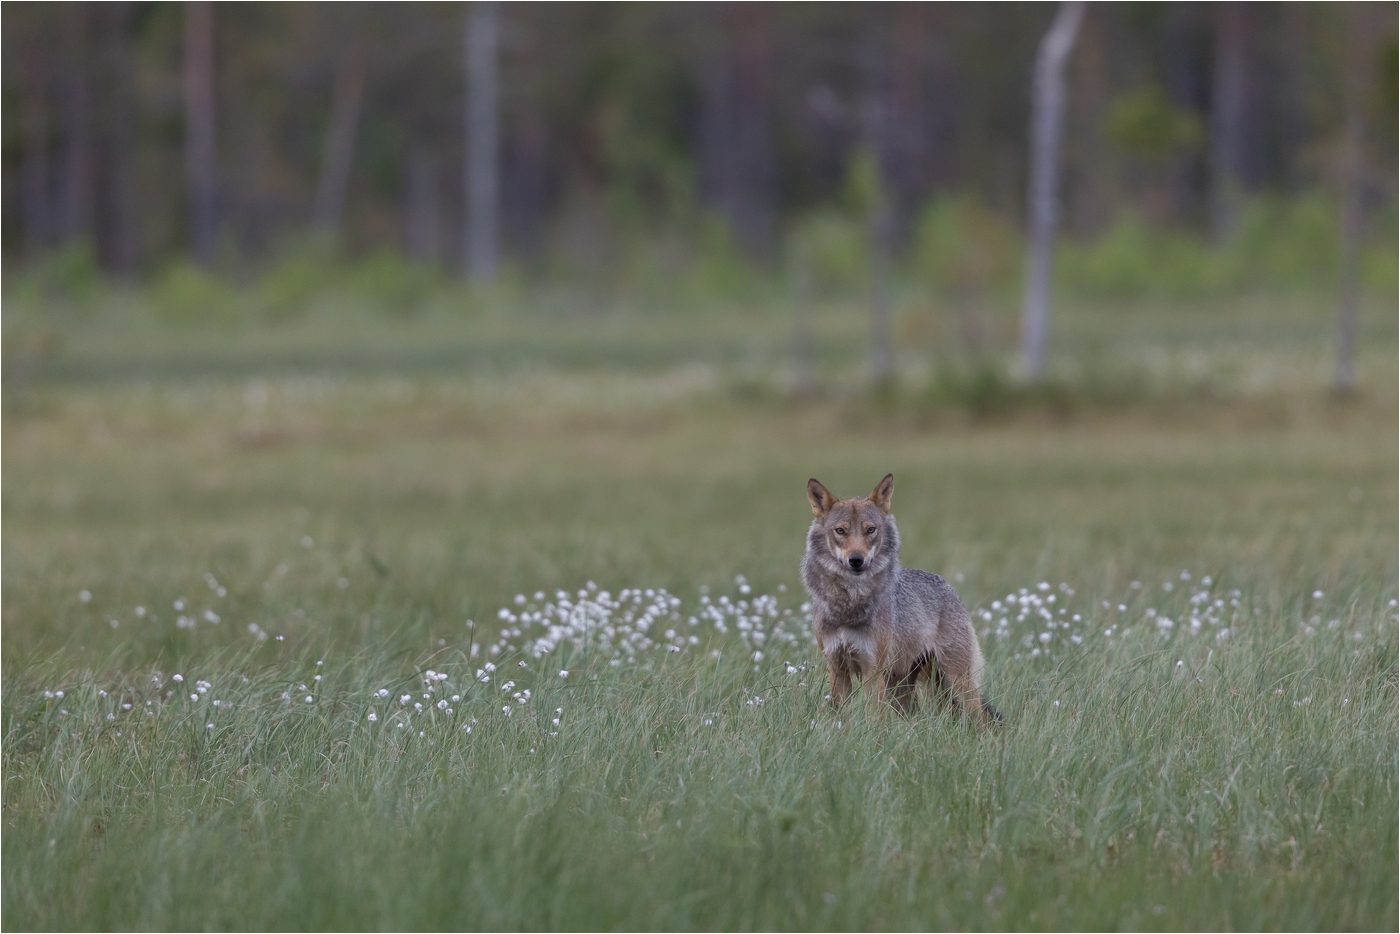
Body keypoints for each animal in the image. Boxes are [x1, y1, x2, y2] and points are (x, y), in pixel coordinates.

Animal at [800, 476, 996, 722]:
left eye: (870, 530)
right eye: (840, 531)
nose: (856, 560)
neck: (849, 606)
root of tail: (949, 587)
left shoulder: (872, 671)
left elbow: (874, 720)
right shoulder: (837, 669)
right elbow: (843, 721)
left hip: (955, 682)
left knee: (980, 720)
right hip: (903, 691)